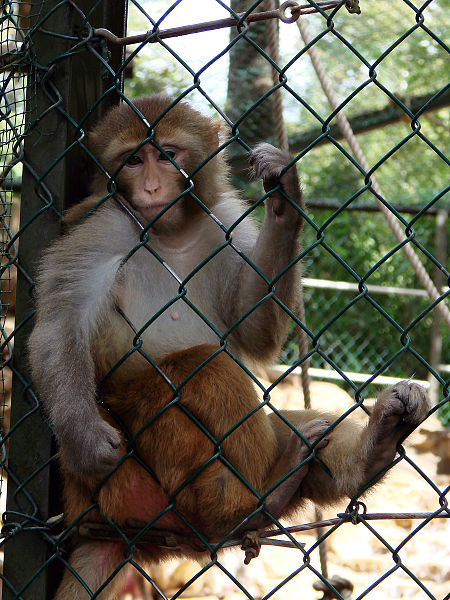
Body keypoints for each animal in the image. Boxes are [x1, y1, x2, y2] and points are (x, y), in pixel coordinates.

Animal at [27, 96, 428, 596]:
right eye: (133, 160)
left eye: (168, 154)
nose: (153, 187)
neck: (172, 234)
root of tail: (104, 525)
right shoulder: (104, 229)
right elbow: (59, 326)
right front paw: (84, 439)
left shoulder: (226, 226)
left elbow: (253, 329)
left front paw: (285, 200)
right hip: (131, 473)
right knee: (203, 368)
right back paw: (243, 509)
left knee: (299, 425)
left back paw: (368, 450)